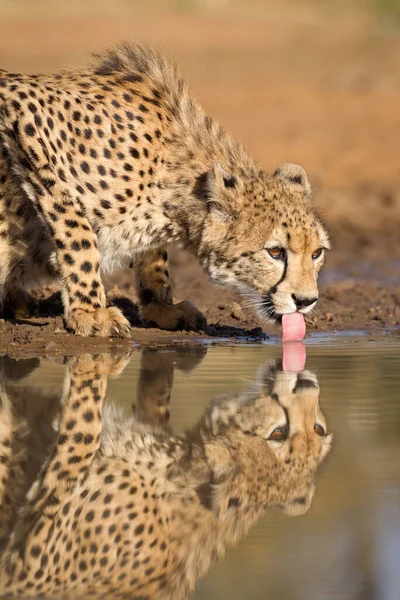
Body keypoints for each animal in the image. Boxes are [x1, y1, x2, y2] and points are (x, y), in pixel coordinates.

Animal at [0, 43, 328, 338]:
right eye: (275, 252)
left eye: (316, 253)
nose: (306, 301)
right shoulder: (25, 112)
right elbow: (79, 236)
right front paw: (90, 312)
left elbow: (154, 253)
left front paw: (161, 307)